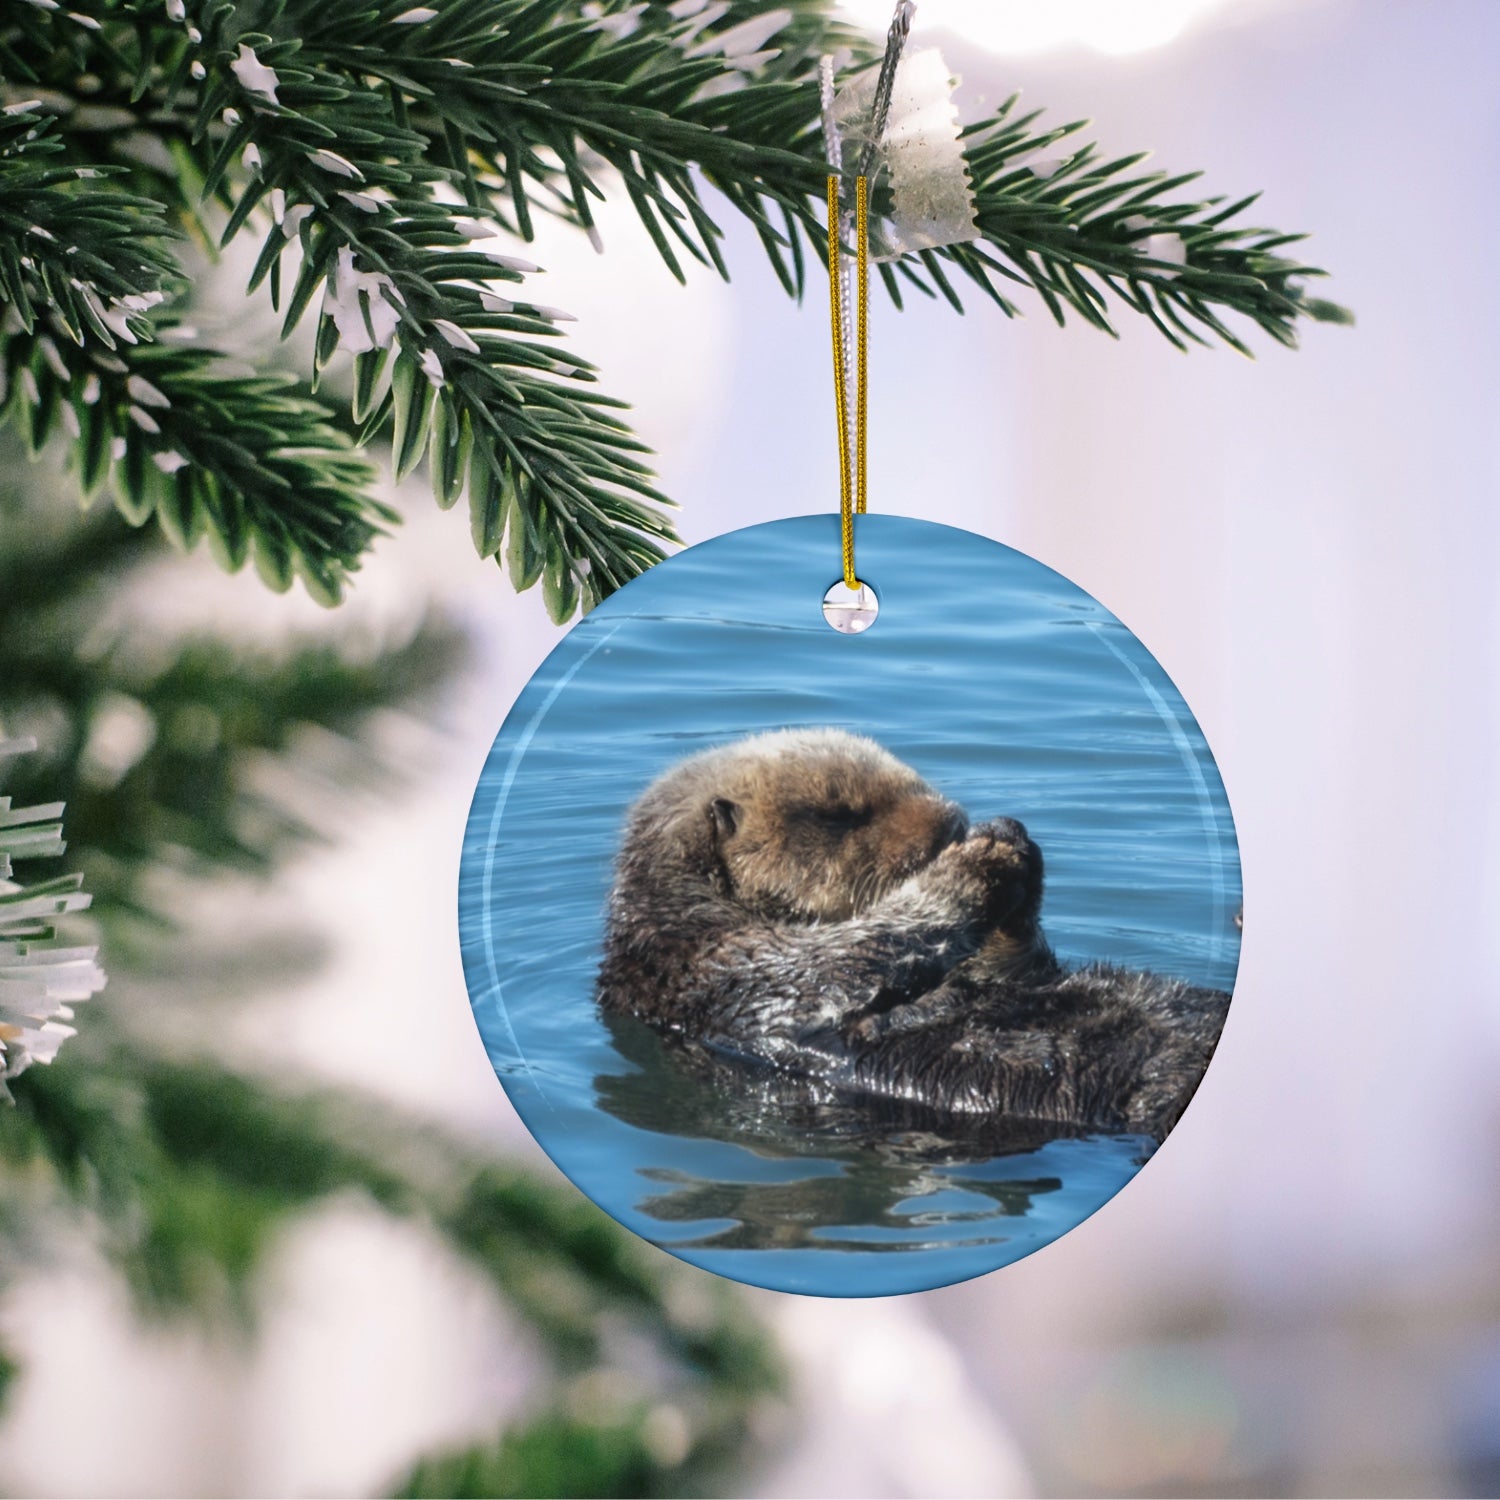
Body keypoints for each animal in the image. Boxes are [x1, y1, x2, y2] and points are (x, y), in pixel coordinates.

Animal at [597, 729, 1229, 1142]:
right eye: (841, 814)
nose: (953, 821)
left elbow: (1014, 969)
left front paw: (1007, 837)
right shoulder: (724, 966)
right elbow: (839, 959)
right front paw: (979, 860)